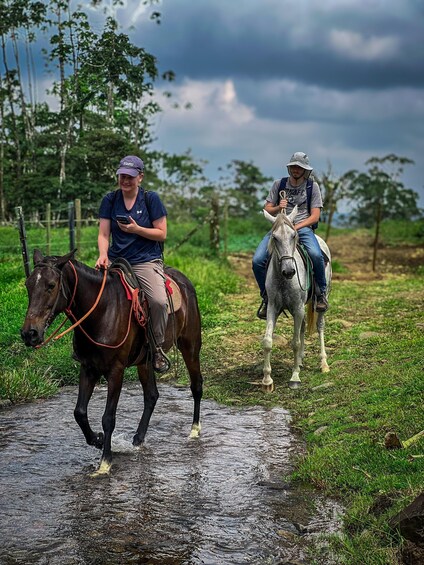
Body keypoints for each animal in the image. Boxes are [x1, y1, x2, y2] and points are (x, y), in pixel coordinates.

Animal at [20, 249, 203, 474]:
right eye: (28, 284)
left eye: (51, 285)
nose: (29, 334)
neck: (102, 311)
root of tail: (184, 281)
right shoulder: (88, 367)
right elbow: (79, 412)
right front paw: (98, 440)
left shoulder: (116, 371)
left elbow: (108, 418)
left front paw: (105, 462)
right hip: (144, 361)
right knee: (151, 395)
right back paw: (138, 439)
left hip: (190, 345)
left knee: (196, 385)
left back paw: (194, 430)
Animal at [262, 206, 332, 388]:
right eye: (274, 237)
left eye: (294, 235)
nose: (289, 271)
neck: (284, 280)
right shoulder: (272, 307)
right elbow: (267, 341)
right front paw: (267, 380)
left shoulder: (298, 308)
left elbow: (295, 343)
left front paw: (294, 377)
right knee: (303, 326)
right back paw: (300, 360)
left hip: (321, 300)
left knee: (320, 326)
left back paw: (323, 363)